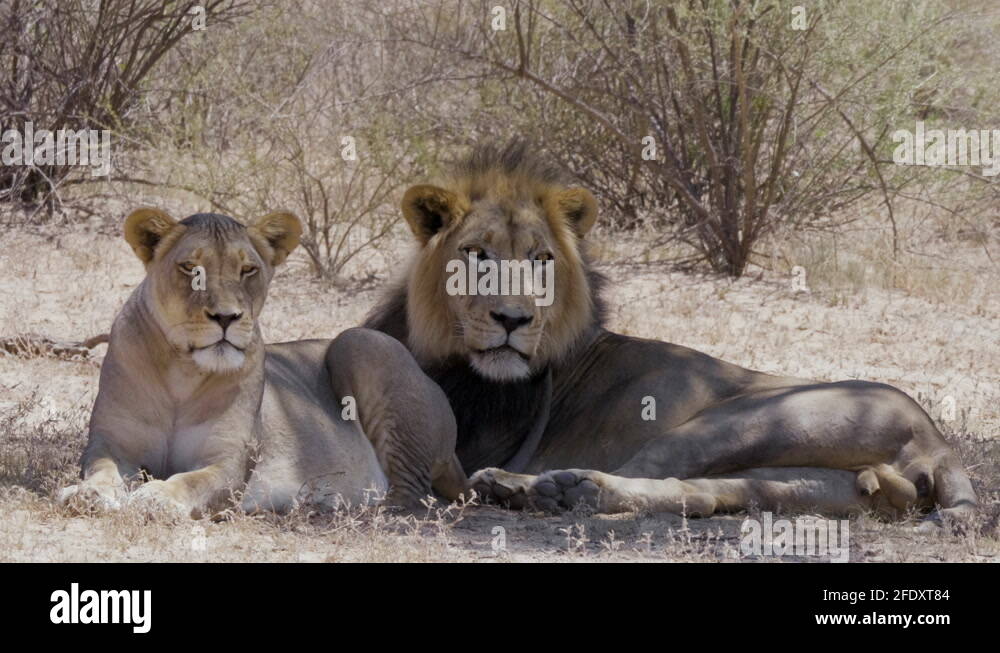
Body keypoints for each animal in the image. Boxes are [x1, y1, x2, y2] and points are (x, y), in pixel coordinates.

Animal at [59, 208, 467, 520]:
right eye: (191, 268)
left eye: (247, 270)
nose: (226, 317)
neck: (182, 373)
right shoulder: (111, 444)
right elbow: (102, 471)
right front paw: (87, 494)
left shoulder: (228, 462)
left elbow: (189, 481)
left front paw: (155, 498)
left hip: (360, 341)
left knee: (411, 493)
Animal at [364, 142, 978, 525]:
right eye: (477, 255)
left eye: (541, 260)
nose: (514, 320)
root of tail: (939, 442)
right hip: (813, 481)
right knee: (705, 494)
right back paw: (566, 492)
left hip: (737, 420)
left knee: (648, 470)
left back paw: (537, 487)